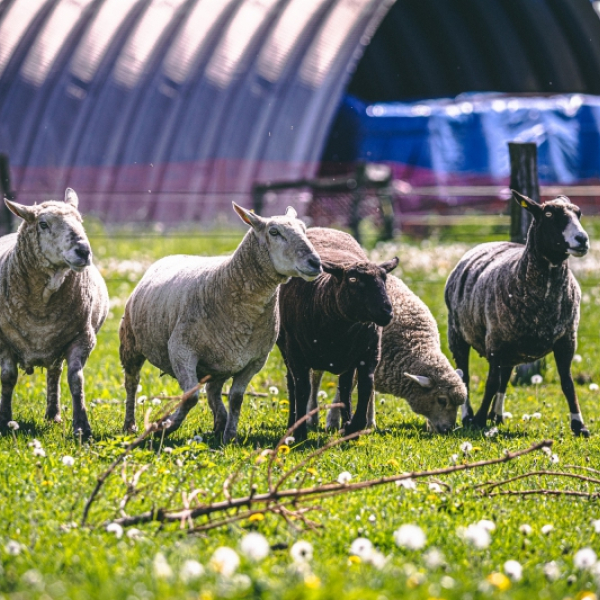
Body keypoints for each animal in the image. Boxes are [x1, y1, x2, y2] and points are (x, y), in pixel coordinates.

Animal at [0, 190, 109, 438]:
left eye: (80, 221)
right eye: (43, 224)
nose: (83, 251)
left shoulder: (82, 338)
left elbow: (76, 380)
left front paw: (81, 428)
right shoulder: (4, 341)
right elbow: (8, 378)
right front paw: (4, 421)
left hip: (57, 344)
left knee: (54, 373)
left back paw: (53, 414)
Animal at [118, 204, 324, 442]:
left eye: (304, 229)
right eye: (274, 232)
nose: (315, 263)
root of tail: (172, 256)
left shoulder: (255, 360)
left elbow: (236, 399)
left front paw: (230, 436)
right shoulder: (181, 349)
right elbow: (190, 397)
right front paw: (164, 427)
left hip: (218, 363)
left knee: (213, 391)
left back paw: (220, 423)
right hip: (130, 343)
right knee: (132, 383)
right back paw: (130, 425)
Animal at [276, 225, 398, 440]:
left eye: (384, 279)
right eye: (353, 279)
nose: (386, 312)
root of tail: (324, 228)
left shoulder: (369, 355)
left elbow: (364, 388)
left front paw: (353, 427)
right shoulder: (296, 354)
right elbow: (302, 389)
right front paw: (300, 433)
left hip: (348, 359)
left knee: (345, 387)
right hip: (286, 348)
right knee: (292, 384)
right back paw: (292, 423)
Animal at [310, 274, 468, 434]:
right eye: (442, 400)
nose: (448, 430)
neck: (413, 340)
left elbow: (367, 390)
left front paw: (370, 423)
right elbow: (347, 388)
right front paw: (333, 422)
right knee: (315, 379)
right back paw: (312, 417)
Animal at [446, 192, 592, 436]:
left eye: (579, 213)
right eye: (549, 214)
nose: (582, 239)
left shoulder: (567, 339)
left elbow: (568, 383)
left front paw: (579, 425)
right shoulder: (494, 341)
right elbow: (490, 382)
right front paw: (478, 420)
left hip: (512, 346)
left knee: (505, 377)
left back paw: (496, 416)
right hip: (458, 334)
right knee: (464, 374)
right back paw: (468, 416)